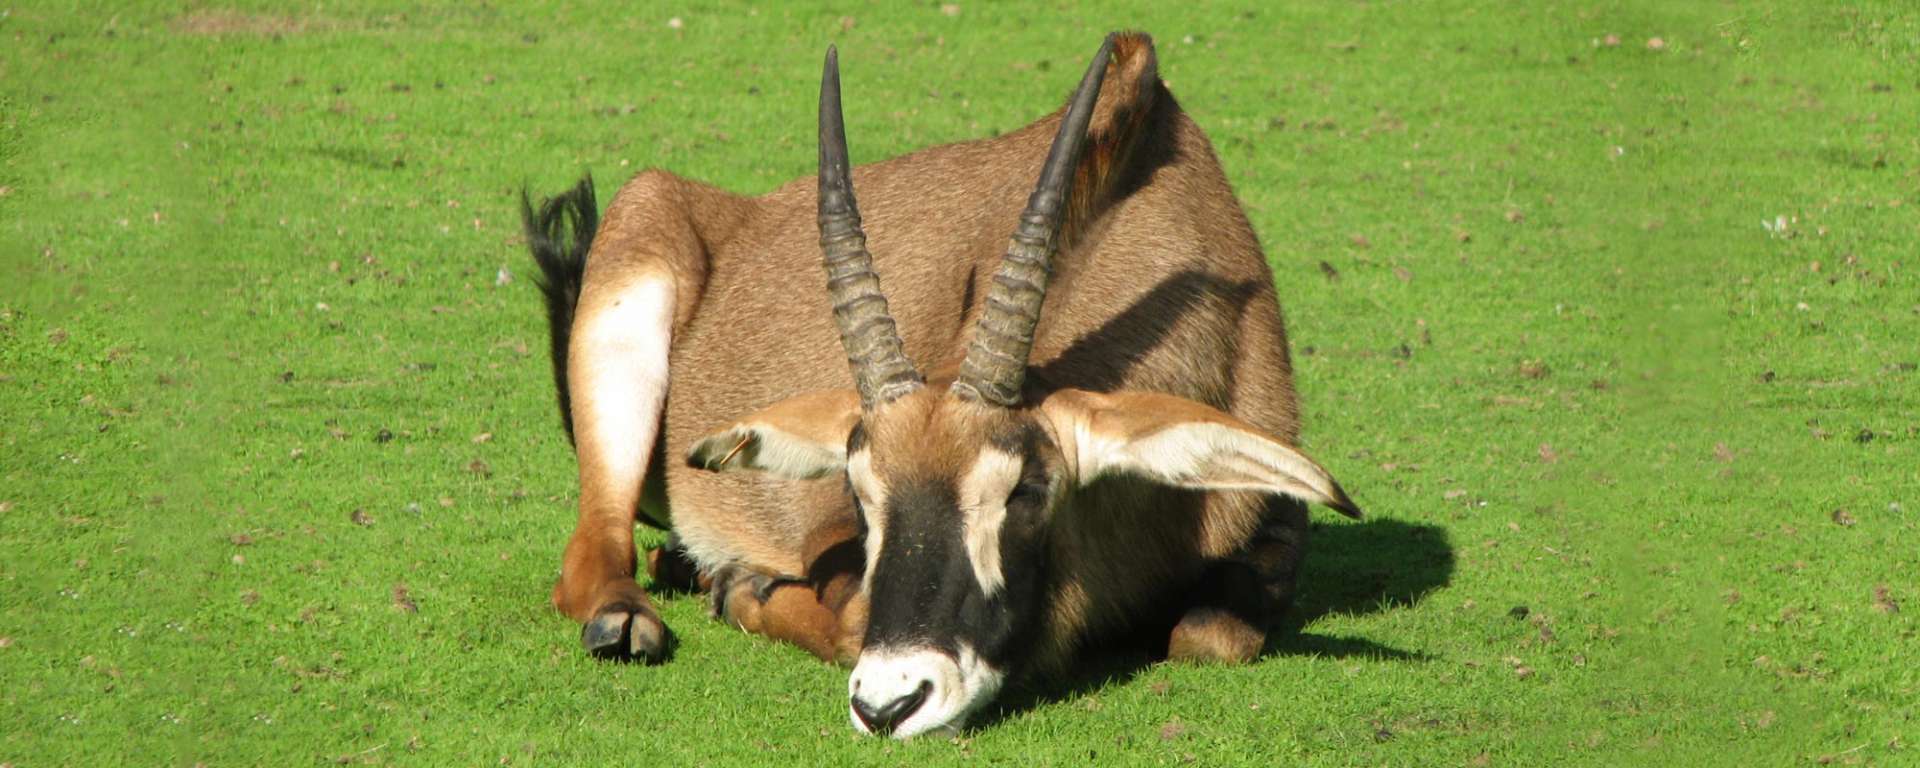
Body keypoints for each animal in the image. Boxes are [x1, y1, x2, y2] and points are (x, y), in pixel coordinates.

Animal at [520, 32, 1359, 738]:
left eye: (1026, 491)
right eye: (858, 489)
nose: (889, 703)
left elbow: (1212, 635)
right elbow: (848, 618)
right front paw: (743, 591)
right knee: (590, 556)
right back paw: (636, 612)